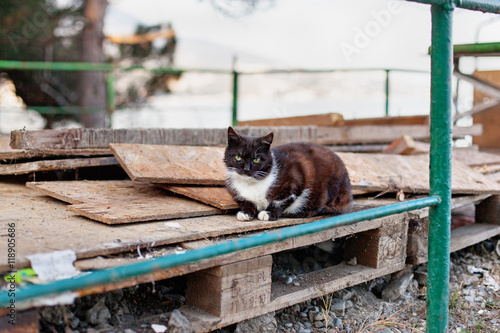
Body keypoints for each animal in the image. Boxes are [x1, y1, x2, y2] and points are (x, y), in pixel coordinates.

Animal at [223, 126, 352, 220]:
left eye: (256, 160)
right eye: (238, 157)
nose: (246, 169)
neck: (250, 183)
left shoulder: (296, 176)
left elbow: (280, 201)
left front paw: (268, 213)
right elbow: (245, 201)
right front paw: (245, 212)